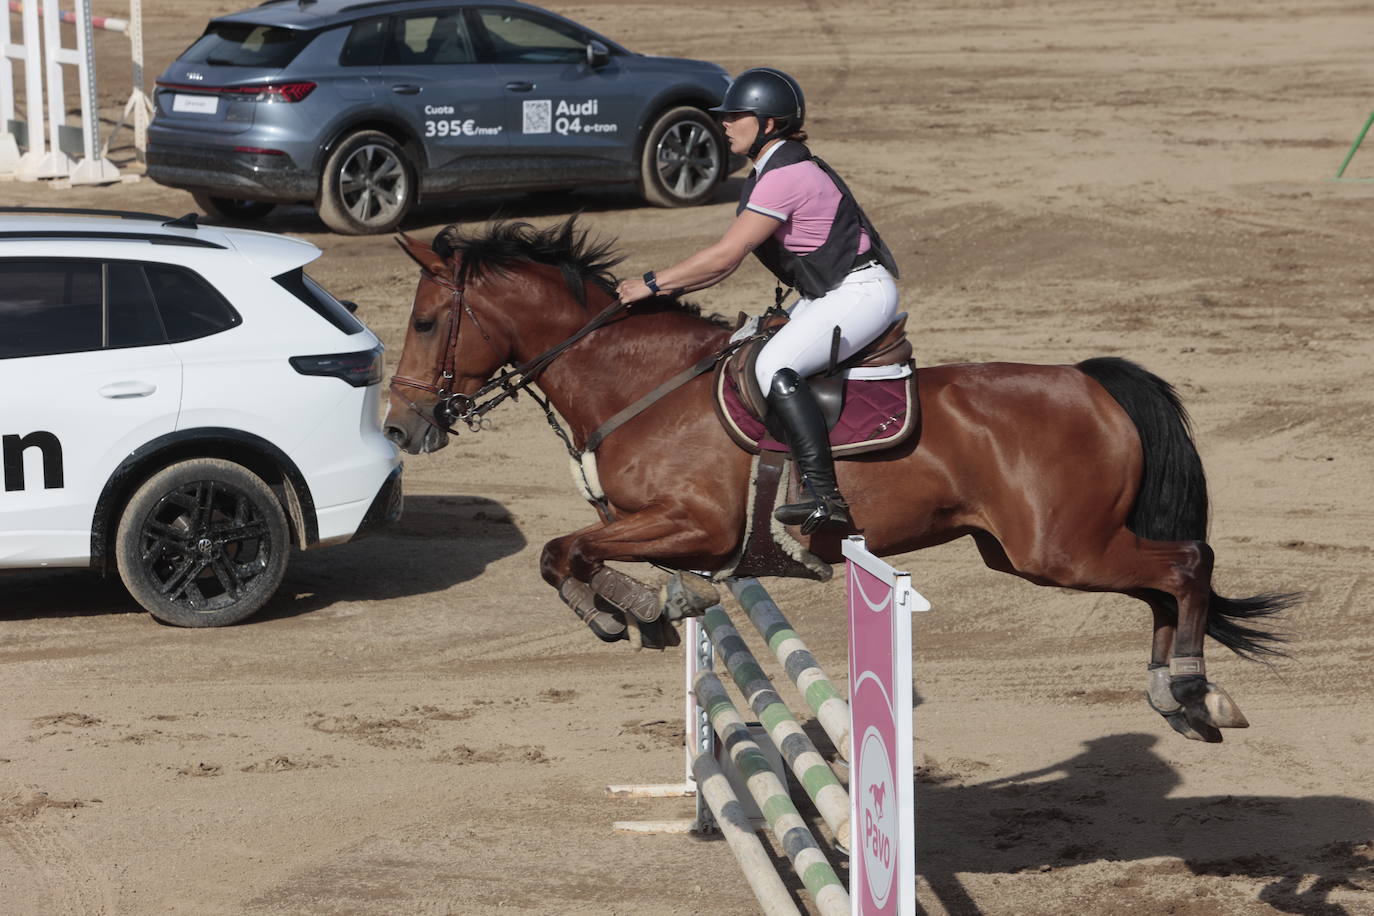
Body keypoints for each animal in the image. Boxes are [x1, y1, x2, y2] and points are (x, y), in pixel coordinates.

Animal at [381, 216, 1291, 747]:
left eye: (424, 321)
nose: (400, 427)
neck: (643, 383)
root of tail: (1089, 380)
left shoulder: (695, 522)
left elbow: (561, 550)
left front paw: (624, 612)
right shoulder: (662, 528)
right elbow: (575, 550)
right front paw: (650, 607)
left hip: (1061, 549)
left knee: (1187, 566)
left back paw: (1193, 689)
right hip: (1040, 551)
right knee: (1162, 587)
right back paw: (1176, 697)